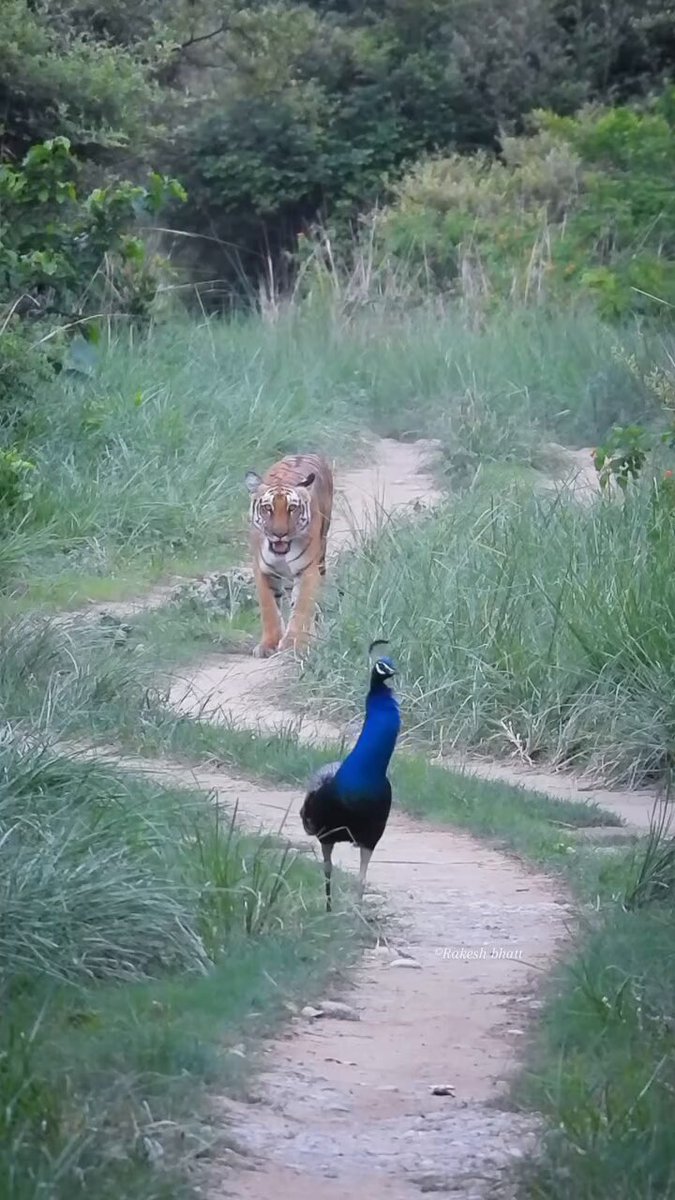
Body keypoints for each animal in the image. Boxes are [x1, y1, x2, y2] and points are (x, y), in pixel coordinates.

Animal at [244, 453, 334, 658]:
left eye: (292, 508)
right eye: (267, 508)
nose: (279, 534)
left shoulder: (308, 570)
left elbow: (301, 607)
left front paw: (295, 644)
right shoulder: (262, 570)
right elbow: (269, 608)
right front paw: (268, 645)